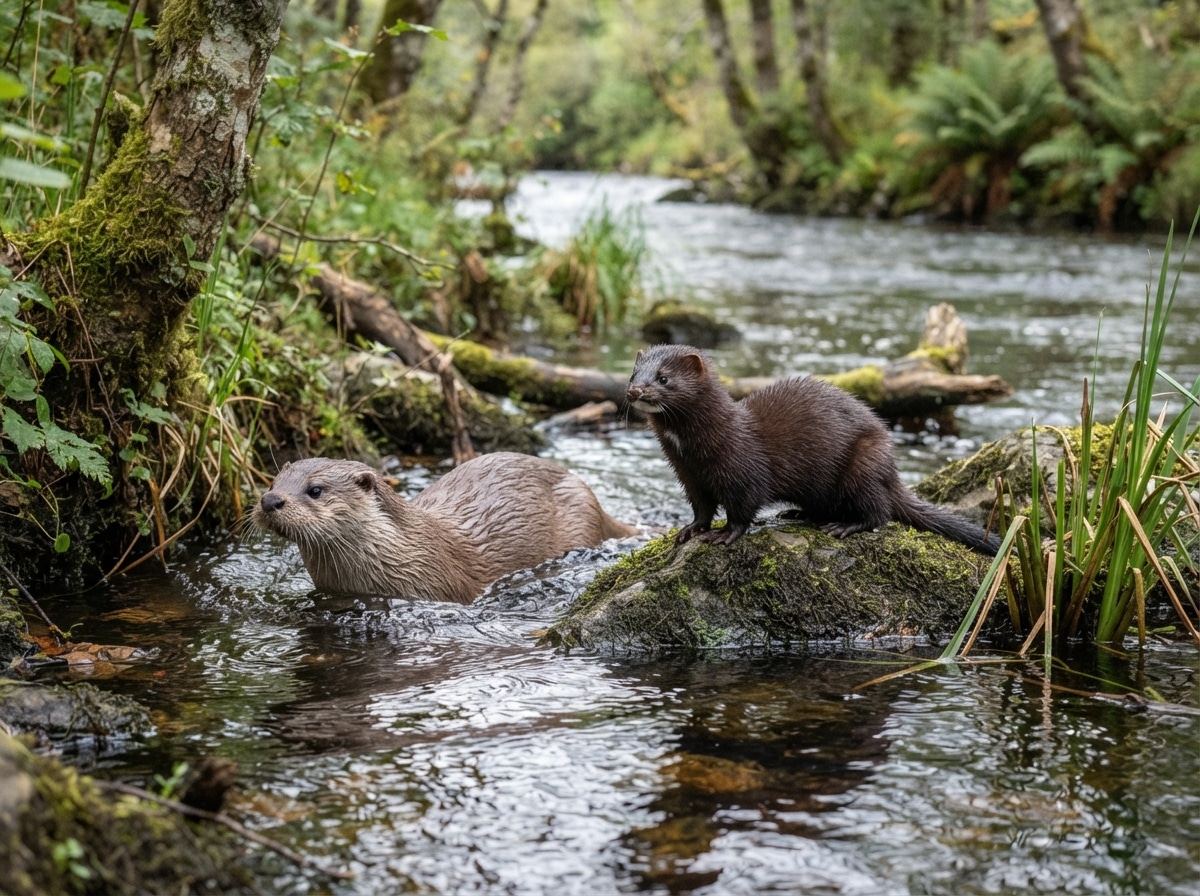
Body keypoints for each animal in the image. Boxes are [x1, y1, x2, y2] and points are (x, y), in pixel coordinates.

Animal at [626, 344, 999, 555]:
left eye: (663, 378)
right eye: (633, 373)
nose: (634, 391)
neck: (690, 450)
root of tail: (891, 469)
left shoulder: (741, 467)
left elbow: (743, 508)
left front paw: (724, 535)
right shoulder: (687, 473)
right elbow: (701, 507)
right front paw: (691, 530)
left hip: (863, 462)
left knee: (878, 512)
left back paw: (843, 526)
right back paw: (797, 513)